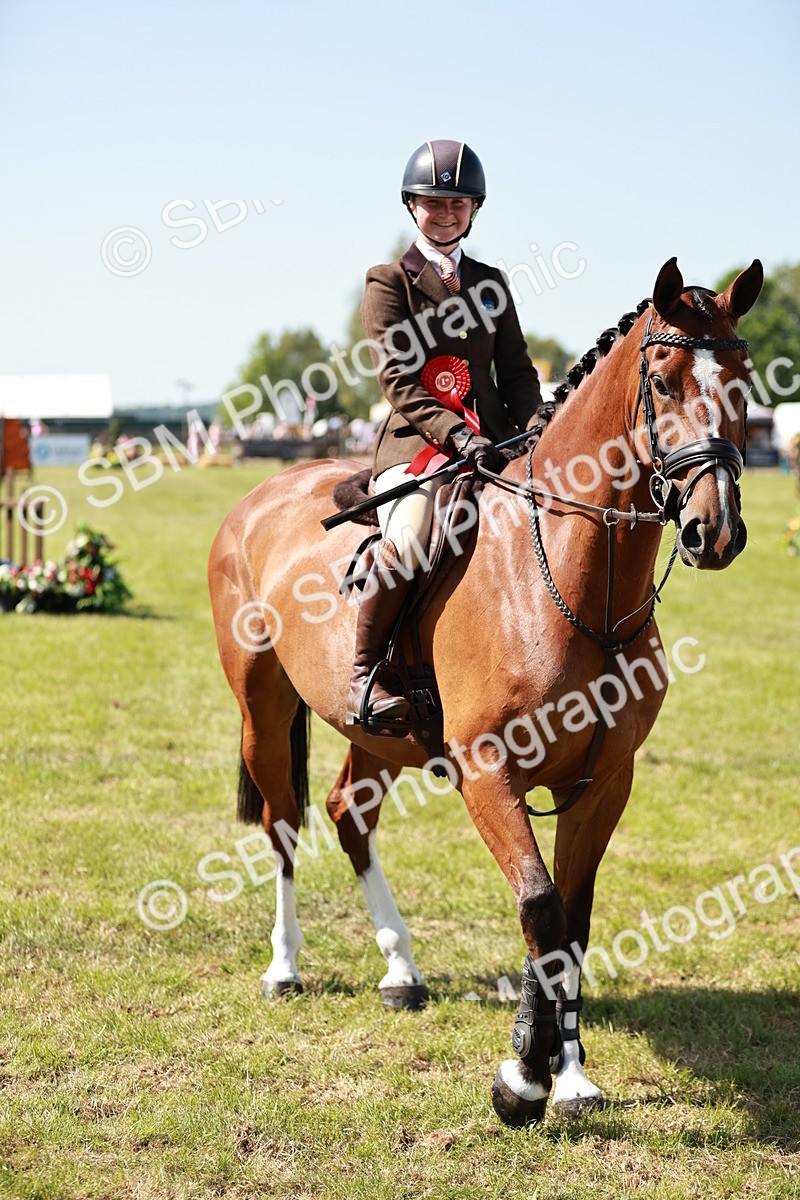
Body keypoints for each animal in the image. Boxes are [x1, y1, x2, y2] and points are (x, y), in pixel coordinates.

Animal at [208, 256, 763, 1126]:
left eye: (742, 379)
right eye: (662, 381)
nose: (717, 530)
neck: (575, 583)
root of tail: (265, 492)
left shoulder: (604, 781)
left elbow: (572, 919)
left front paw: (569, 1075)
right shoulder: (487, 772)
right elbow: (539, 906)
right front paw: (523, 1078)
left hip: (381, 734)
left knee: (348, 812)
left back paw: (401, 971)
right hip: (261, 708)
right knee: (283, 823)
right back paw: (285, 967)